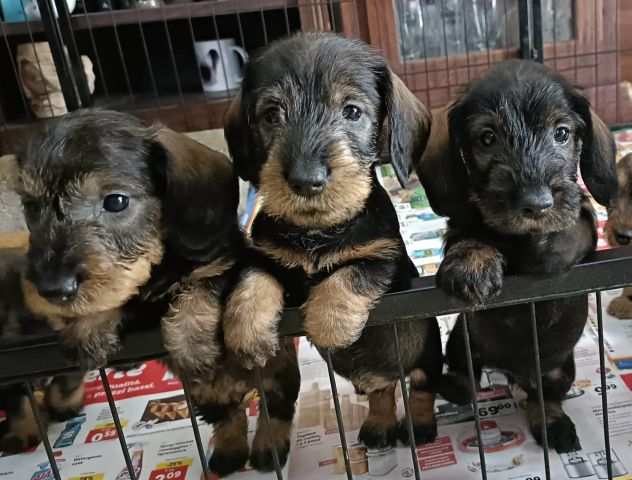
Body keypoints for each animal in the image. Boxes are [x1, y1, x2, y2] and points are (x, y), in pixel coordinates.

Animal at [15, 109, 302, 476]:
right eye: (30, 207)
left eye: (116, 201)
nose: (52, 289)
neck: (158, 271)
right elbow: (120, 297)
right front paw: (88, 325)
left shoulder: (224, 263)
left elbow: (200, 284)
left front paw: (191, 340)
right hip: (206, 397)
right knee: (229, 418)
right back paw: (228, 452)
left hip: (277, 375)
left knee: (275, 410)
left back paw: (268, 446)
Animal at [225, 34, 442, 450]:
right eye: (271, 115)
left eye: (352, 111)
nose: (306, 180)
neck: (317, 231)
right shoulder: (264, 255)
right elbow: (253, 279)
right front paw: (247, 331)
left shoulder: (385, 256)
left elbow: (350, 275)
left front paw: (328, 325)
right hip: (380, 381)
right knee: (382, 392)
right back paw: (378, 426)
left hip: (426, 353)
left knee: (421, 387)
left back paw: (421, 427)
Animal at [420, 60, 616, 454]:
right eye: (487, 138)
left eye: (562, 133)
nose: (536, 204)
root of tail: (515, 374)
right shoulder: (461, 225)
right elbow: (469, 236)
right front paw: (472, 265)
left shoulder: (584, 221)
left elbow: (574, 226)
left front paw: (551, 249)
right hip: (462, 341)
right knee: (466, 379)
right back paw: (452, 386)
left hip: (559, 371)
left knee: (544, 399)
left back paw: (553, 425)